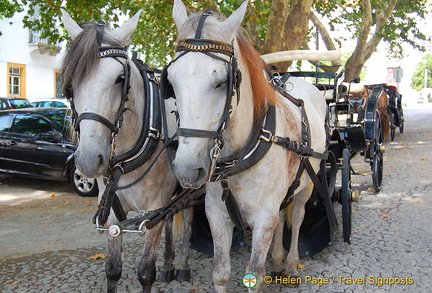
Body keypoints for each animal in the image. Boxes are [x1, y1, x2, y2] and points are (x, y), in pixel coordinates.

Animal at [61, 9, 194, 292]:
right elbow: (113, 270)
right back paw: (169, 265)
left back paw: (182, 266)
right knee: (170, 220)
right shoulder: (112, 217)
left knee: (187, 217)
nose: (88, 161)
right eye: (69, 82)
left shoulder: (152, 211)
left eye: (119, 79)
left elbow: (145, 272)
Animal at [164, 1, 326, 290]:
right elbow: (220, 272)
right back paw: (278, 260)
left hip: (308, 182)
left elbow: (255, 274)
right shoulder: (216, 214)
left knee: (297, 216)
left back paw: (292, 265)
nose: (186, 169)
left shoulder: (263, 215)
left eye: (221, 82)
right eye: (170, 82)